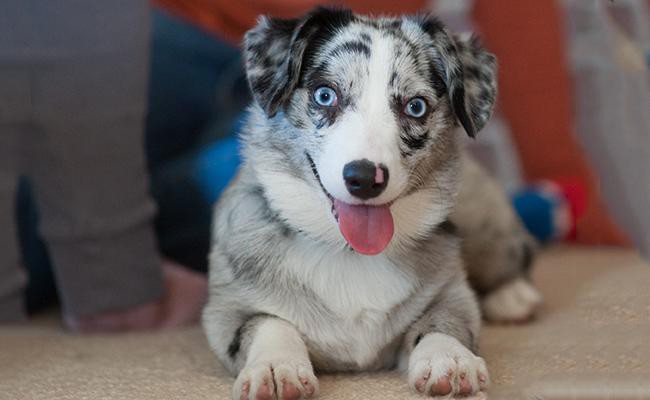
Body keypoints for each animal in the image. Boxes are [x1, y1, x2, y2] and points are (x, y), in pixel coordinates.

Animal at [202, 7, 536, 398]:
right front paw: (276, 369)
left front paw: (450, 361)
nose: (364, 179)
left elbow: (442, 322)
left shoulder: (451, 294)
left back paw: (512, 297)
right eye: (325, 95)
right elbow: (268, 323)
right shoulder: (226, 311)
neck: (349, 253)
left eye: (416, 106)